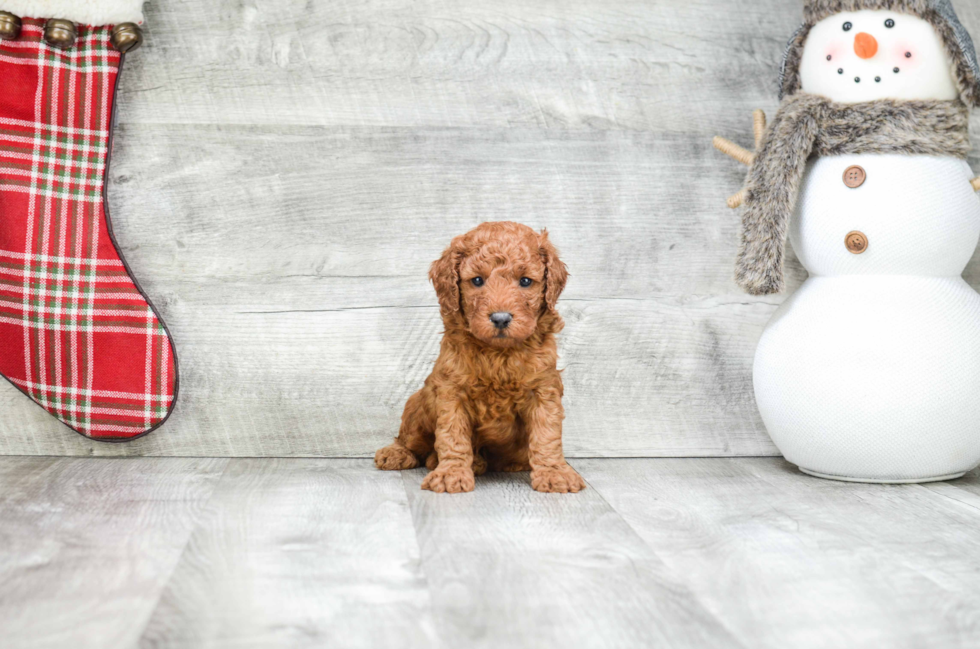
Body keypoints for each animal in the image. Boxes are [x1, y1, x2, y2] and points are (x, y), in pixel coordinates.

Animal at [376, 220, 580, 494]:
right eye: (477, 280)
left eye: (526, 281)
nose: (500, 318)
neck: (499, 354)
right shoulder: (452, 390)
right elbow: (453, 436)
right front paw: (450, 473)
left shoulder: (543, 390)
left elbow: (546, 435)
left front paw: (554, 472)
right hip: (418, 405)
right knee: (410, 439)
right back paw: (398, 454)